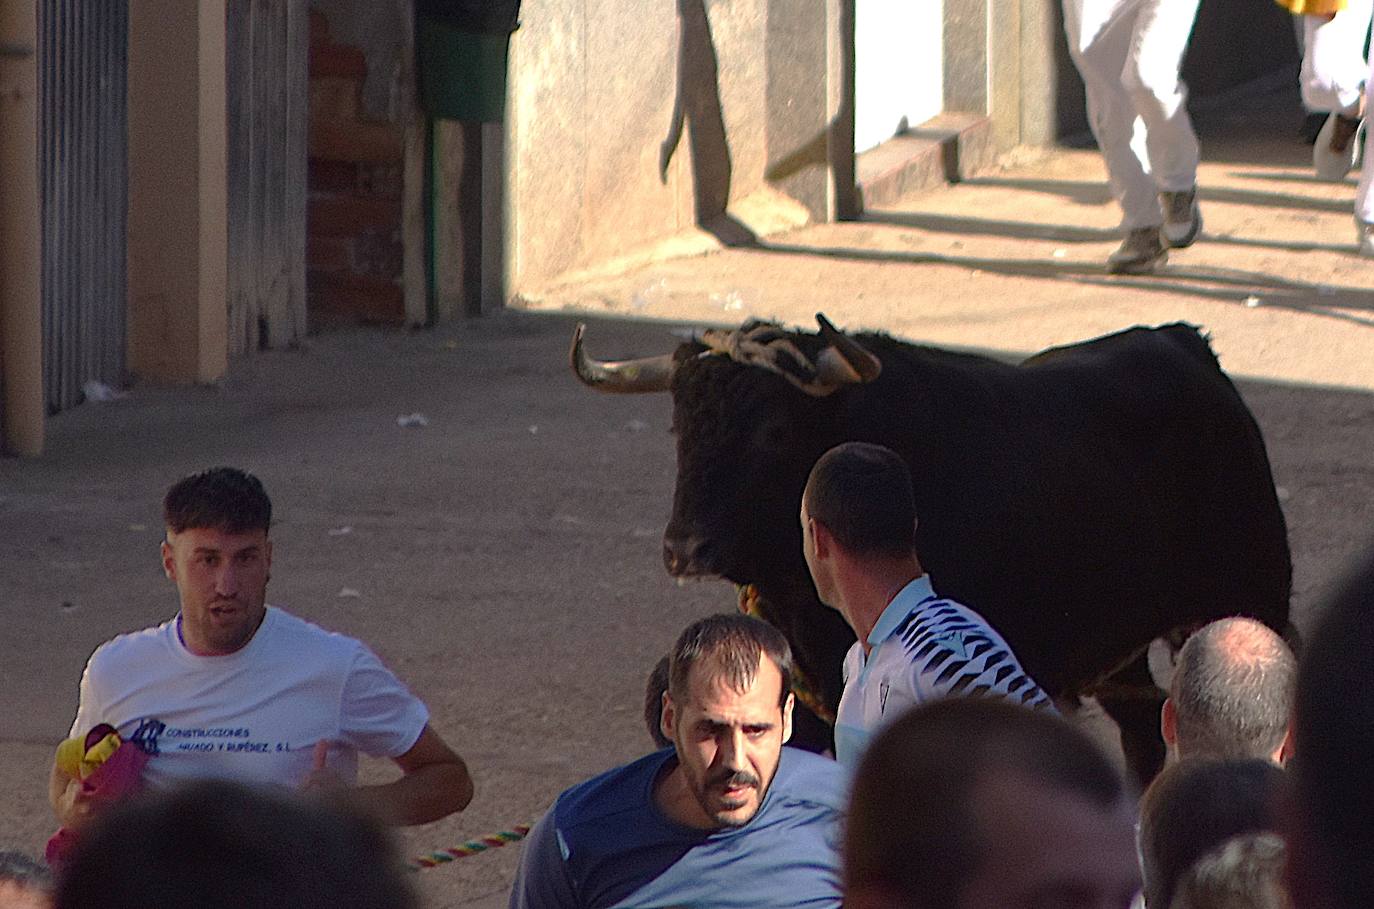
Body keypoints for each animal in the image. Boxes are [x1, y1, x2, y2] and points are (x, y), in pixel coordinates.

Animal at [574, 315, 1291, 785]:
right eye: (679, 425)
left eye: (772, 430)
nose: (682, 548)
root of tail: (1184, 341)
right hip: (1119, 647)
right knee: (1143, 732)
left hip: (1256, 597)